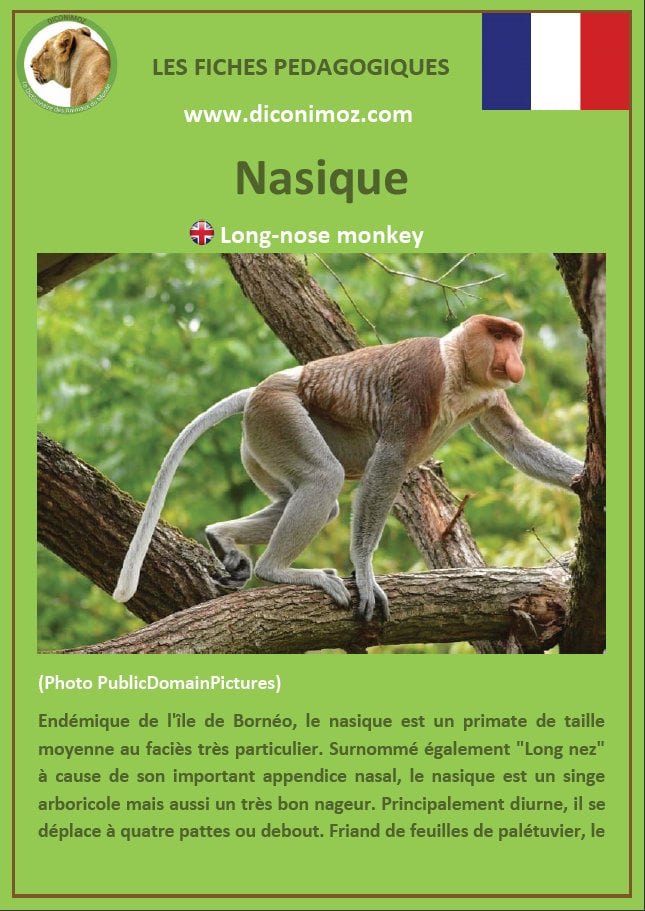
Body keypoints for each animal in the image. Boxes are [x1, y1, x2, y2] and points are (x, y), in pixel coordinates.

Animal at [113, 314, 583, 621]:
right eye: (498, 335)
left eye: (514, 338)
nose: (514, 358)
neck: (457, 366)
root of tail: (261, 389)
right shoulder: (421, 378)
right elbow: (389, 462)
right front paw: (365, 571)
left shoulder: (488, 397)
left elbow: (516, 443)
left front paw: (583, 479)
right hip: (278, 416)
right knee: (324, 480)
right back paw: (275, 570)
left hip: (260, 443)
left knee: (307, 499)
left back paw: (221, 537)